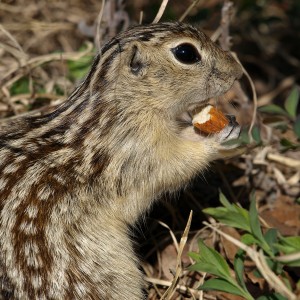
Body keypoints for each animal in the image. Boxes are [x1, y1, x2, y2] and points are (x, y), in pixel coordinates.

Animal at [0, 22, 243, 298]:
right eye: (186, 53)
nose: (237, 72)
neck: (117, 109)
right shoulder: (139, 155)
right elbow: (176, 163)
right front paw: (220, 138)